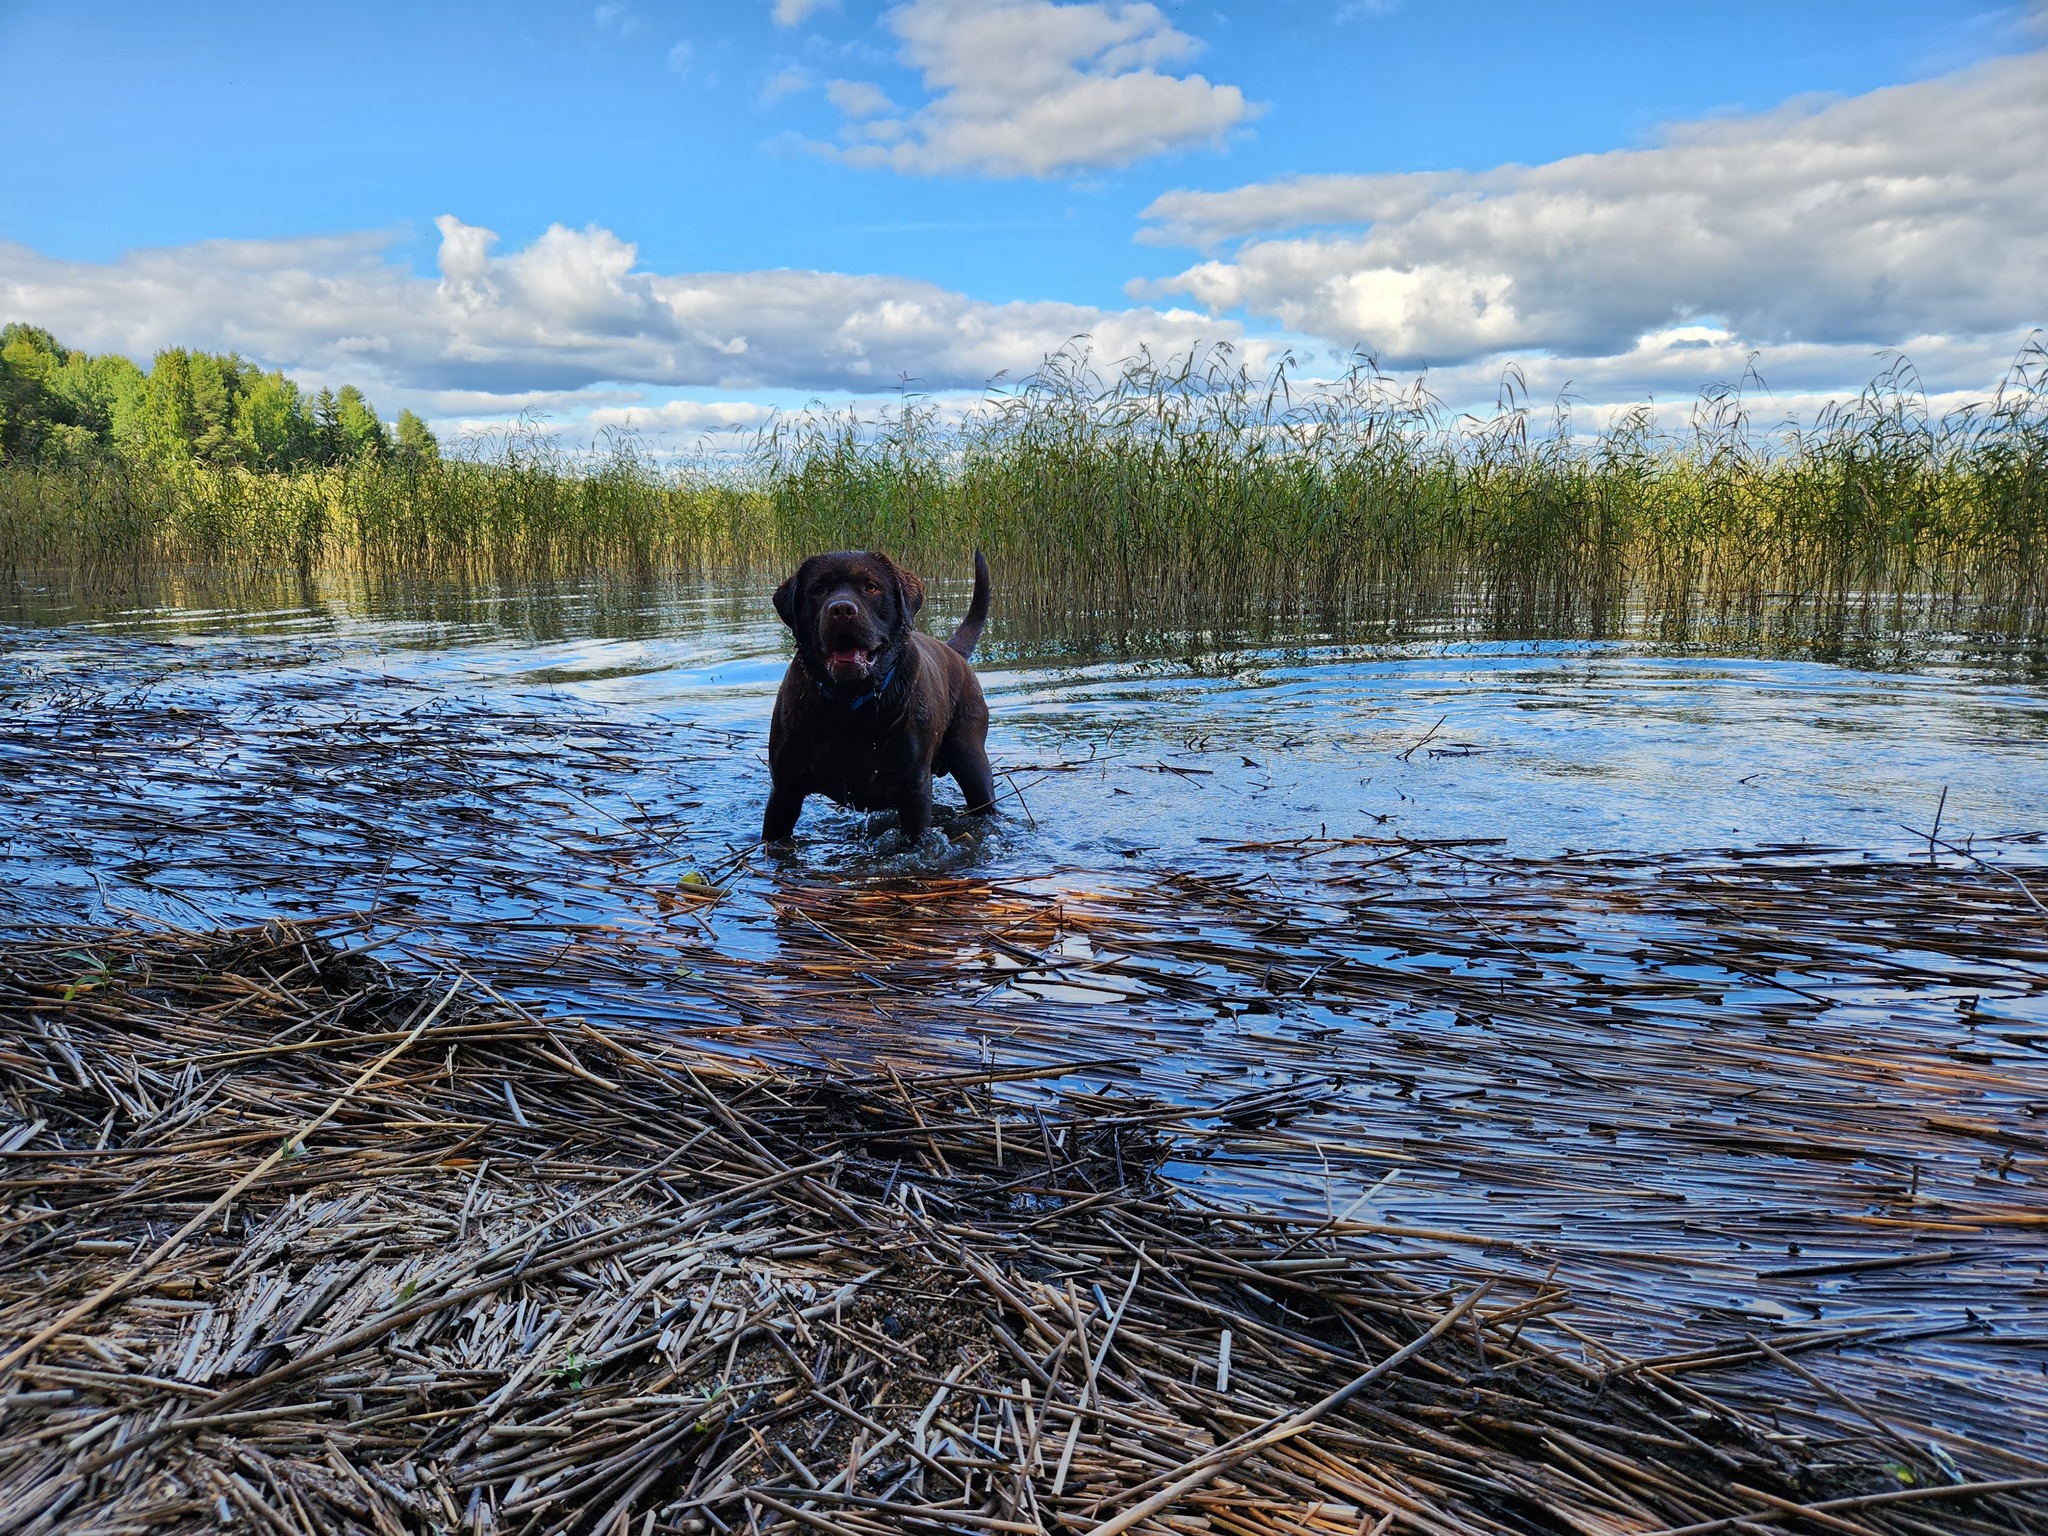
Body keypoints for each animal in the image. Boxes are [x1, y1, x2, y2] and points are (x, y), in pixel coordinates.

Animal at [765, 548, 995, 843]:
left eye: (871, 587)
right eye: (818, 589)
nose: (841, 609)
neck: (849, 705)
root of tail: (952, 650)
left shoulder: (914, 790)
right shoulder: (784, 790)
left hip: (972, 759)